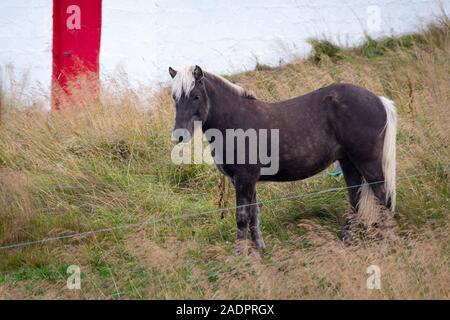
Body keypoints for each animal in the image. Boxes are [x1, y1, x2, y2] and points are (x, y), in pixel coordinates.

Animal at [167, 65, 396, 255]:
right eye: (175, 98)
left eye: (196, 96)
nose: (179, 135)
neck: (235, 121)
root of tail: (379, 100)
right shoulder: (246, 180)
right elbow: (254, 214)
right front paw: (259, 251)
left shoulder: (244, 178)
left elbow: (242, 217)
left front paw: (239, 256)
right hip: (349, 164)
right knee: (354, 201)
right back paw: (346, 242)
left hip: (368, 163)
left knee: (384, 199)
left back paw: (386, 247)